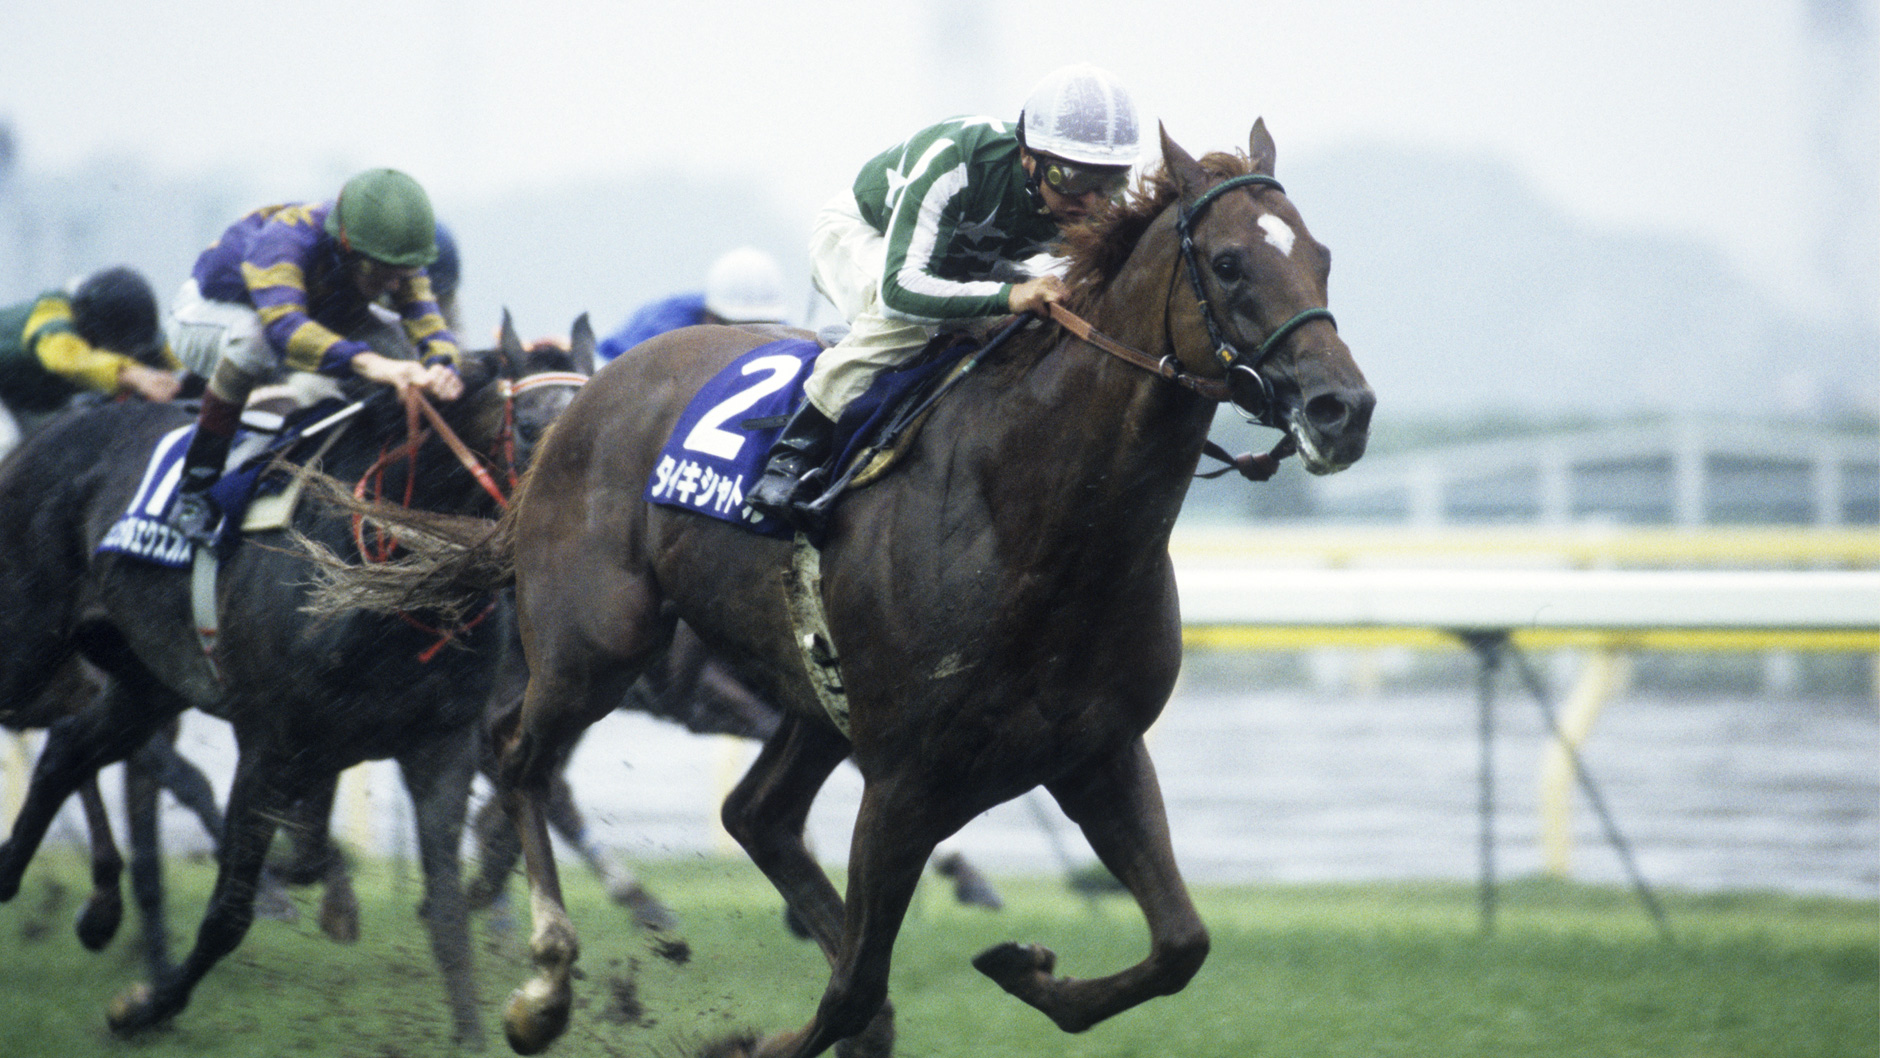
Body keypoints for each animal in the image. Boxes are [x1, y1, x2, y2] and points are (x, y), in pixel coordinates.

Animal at [0, 315, 593, 1047]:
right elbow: (230, 910)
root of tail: (41, 438)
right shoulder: (272, 741)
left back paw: (76, 900)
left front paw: (484, 1034)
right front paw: (142, 1007)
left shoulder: (438, 747)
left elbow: (447, 913)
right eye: (533, 430)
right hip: (26, 642)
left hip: (144, 682)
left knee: (66, 749)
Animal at [331, 122, 1373, 1057]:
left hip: (808, 694)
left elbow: (1181, 945)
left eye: (1321, 257)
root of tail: (584, 393)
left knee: (755, 815)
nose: (1343, 410)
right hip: (597, 641)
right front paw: (749, 1041)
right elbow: (854, 985)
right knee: (519, 757)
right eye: (1230, 263)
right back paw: (543, 989)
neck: (1038, 515)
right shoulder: (907, 778)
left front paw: (1024, 967)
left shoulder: (1098, 752)